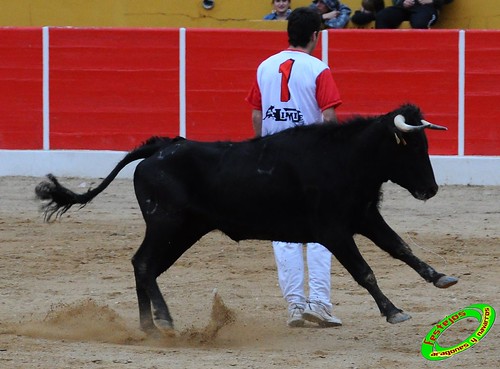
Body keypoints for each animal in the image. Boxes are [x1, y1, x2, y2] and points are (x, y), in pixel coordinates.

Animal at [35, 103, 458, 334]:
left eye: (426, 145)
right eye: (411, 148)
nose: (431, 189)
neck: (346, 159)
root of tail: (161, 148)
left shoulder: (365, 218)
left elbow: (400, 247)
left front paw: (440, 277)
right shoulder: (335, 231)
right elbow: (365, 271)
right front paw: (394, 311)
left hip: (183, 231)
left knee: (146, 267)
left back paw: (150, 327)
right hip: (167, 224)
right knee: (142, 263)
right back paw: (162, 322)